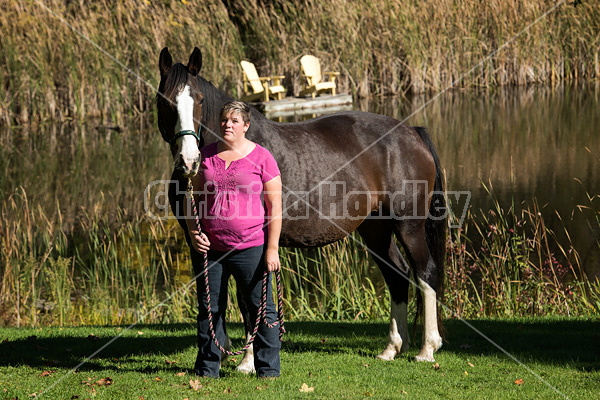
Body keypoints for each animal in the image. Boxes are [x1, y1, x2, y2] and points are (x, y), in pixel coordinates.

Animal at [157, 47, 448, 372]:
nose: (188, 161)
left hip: (408, 226)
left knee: (425, 272)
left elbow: (248, 300)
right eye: (165, 100)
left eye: (199, 99)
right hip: (376, 229)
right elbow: (213, 299)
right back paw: (392, 348)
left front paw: (248, 362)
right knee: (397, 275)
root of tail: (412, 132)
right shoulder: (199, 243)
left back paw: (427, 348)